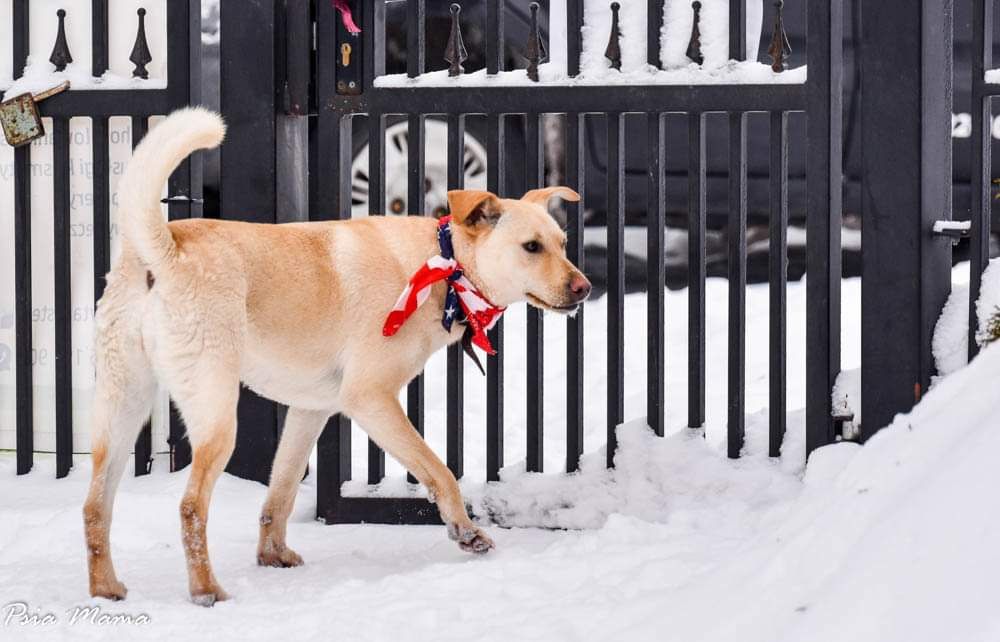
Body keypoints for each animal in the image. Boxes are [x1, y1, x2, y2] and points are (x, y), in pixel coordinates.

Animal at [84, 107, 592, 604]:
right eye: (531, 247)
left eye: (563, 244)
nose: (585, 288)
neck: (443, 265)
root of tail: (165, 253)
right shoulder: (370, 400)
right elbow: (439, 471)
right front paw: (465, 532)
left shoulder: (310, 410)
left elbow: (282, 492)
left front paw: (273, 555)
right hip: (215, 415)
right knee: (190, 506)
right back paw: (206, 589)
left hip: (122, 411)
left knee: (94, 506)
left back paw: (105, 588)